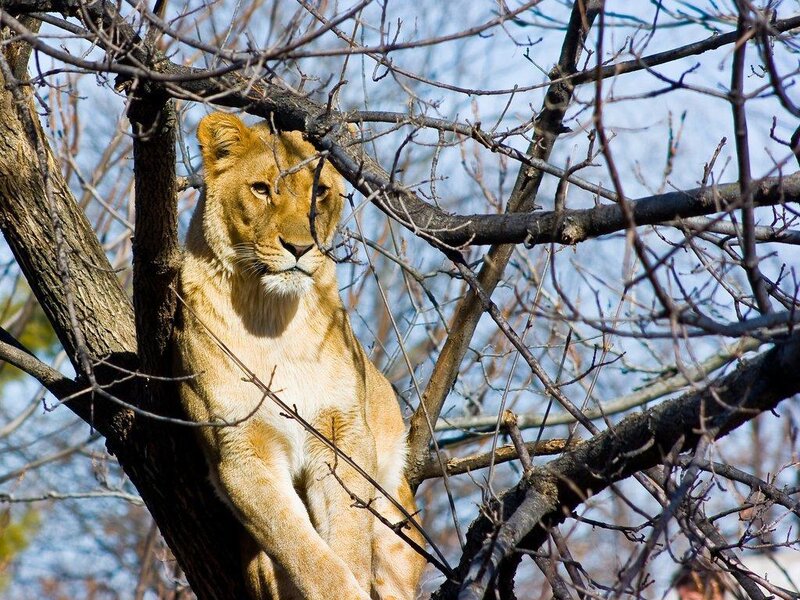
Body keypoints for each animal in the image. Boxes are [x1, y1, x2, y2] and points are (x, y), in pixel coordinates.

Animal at [172, 112, 426, 600]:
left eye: (320, 191)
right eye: (261, 188)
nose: (300, 247)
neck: (271, 317)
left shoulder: (341, 432)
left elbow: (346, 534)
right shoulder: (241, 453)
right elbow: (300, 547)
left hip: (398, 523)